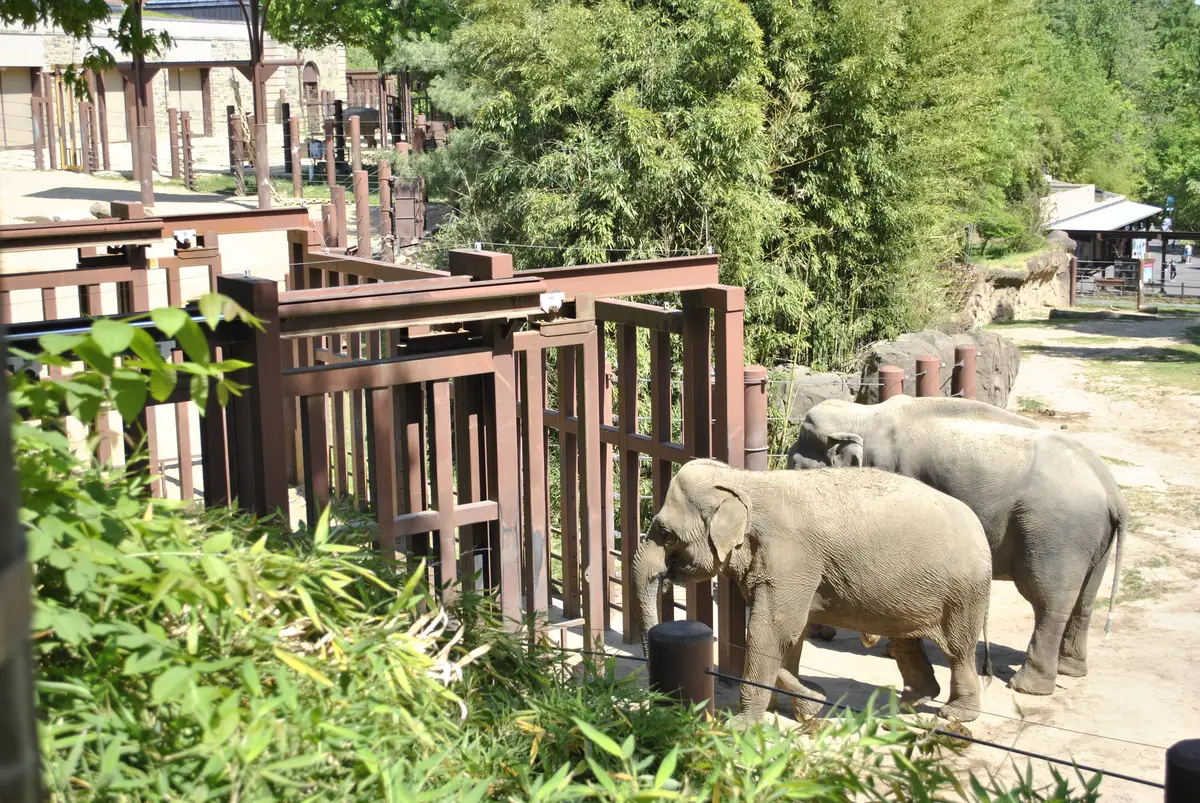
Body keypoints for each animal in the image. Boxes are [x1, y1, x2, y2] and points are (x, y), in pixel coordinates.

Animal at [632, 459, 993, 723]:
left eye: (665, 533)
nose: (652, 702)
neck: (744, 480)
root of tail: (979, 528)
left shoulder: (792, 557)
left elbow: (771, 631)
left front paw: (745, 725)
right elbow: (791, 633)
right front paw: (797, 705)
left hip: (963, 591)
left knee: (958, 648)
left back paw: (954, 715)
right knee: (907, 639)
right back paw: (908, 701)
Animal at [787, 395, 1128, 696]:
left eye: (799, 469)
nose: (823, 635)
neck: (863, 415)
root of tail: (1110, 488)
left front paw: (888, 648)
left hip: (1056, 533)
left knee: (1049, 601)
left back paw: (1027, 687)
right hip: (1094, 540)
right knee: (1085, 599)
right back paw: (1071, 670)